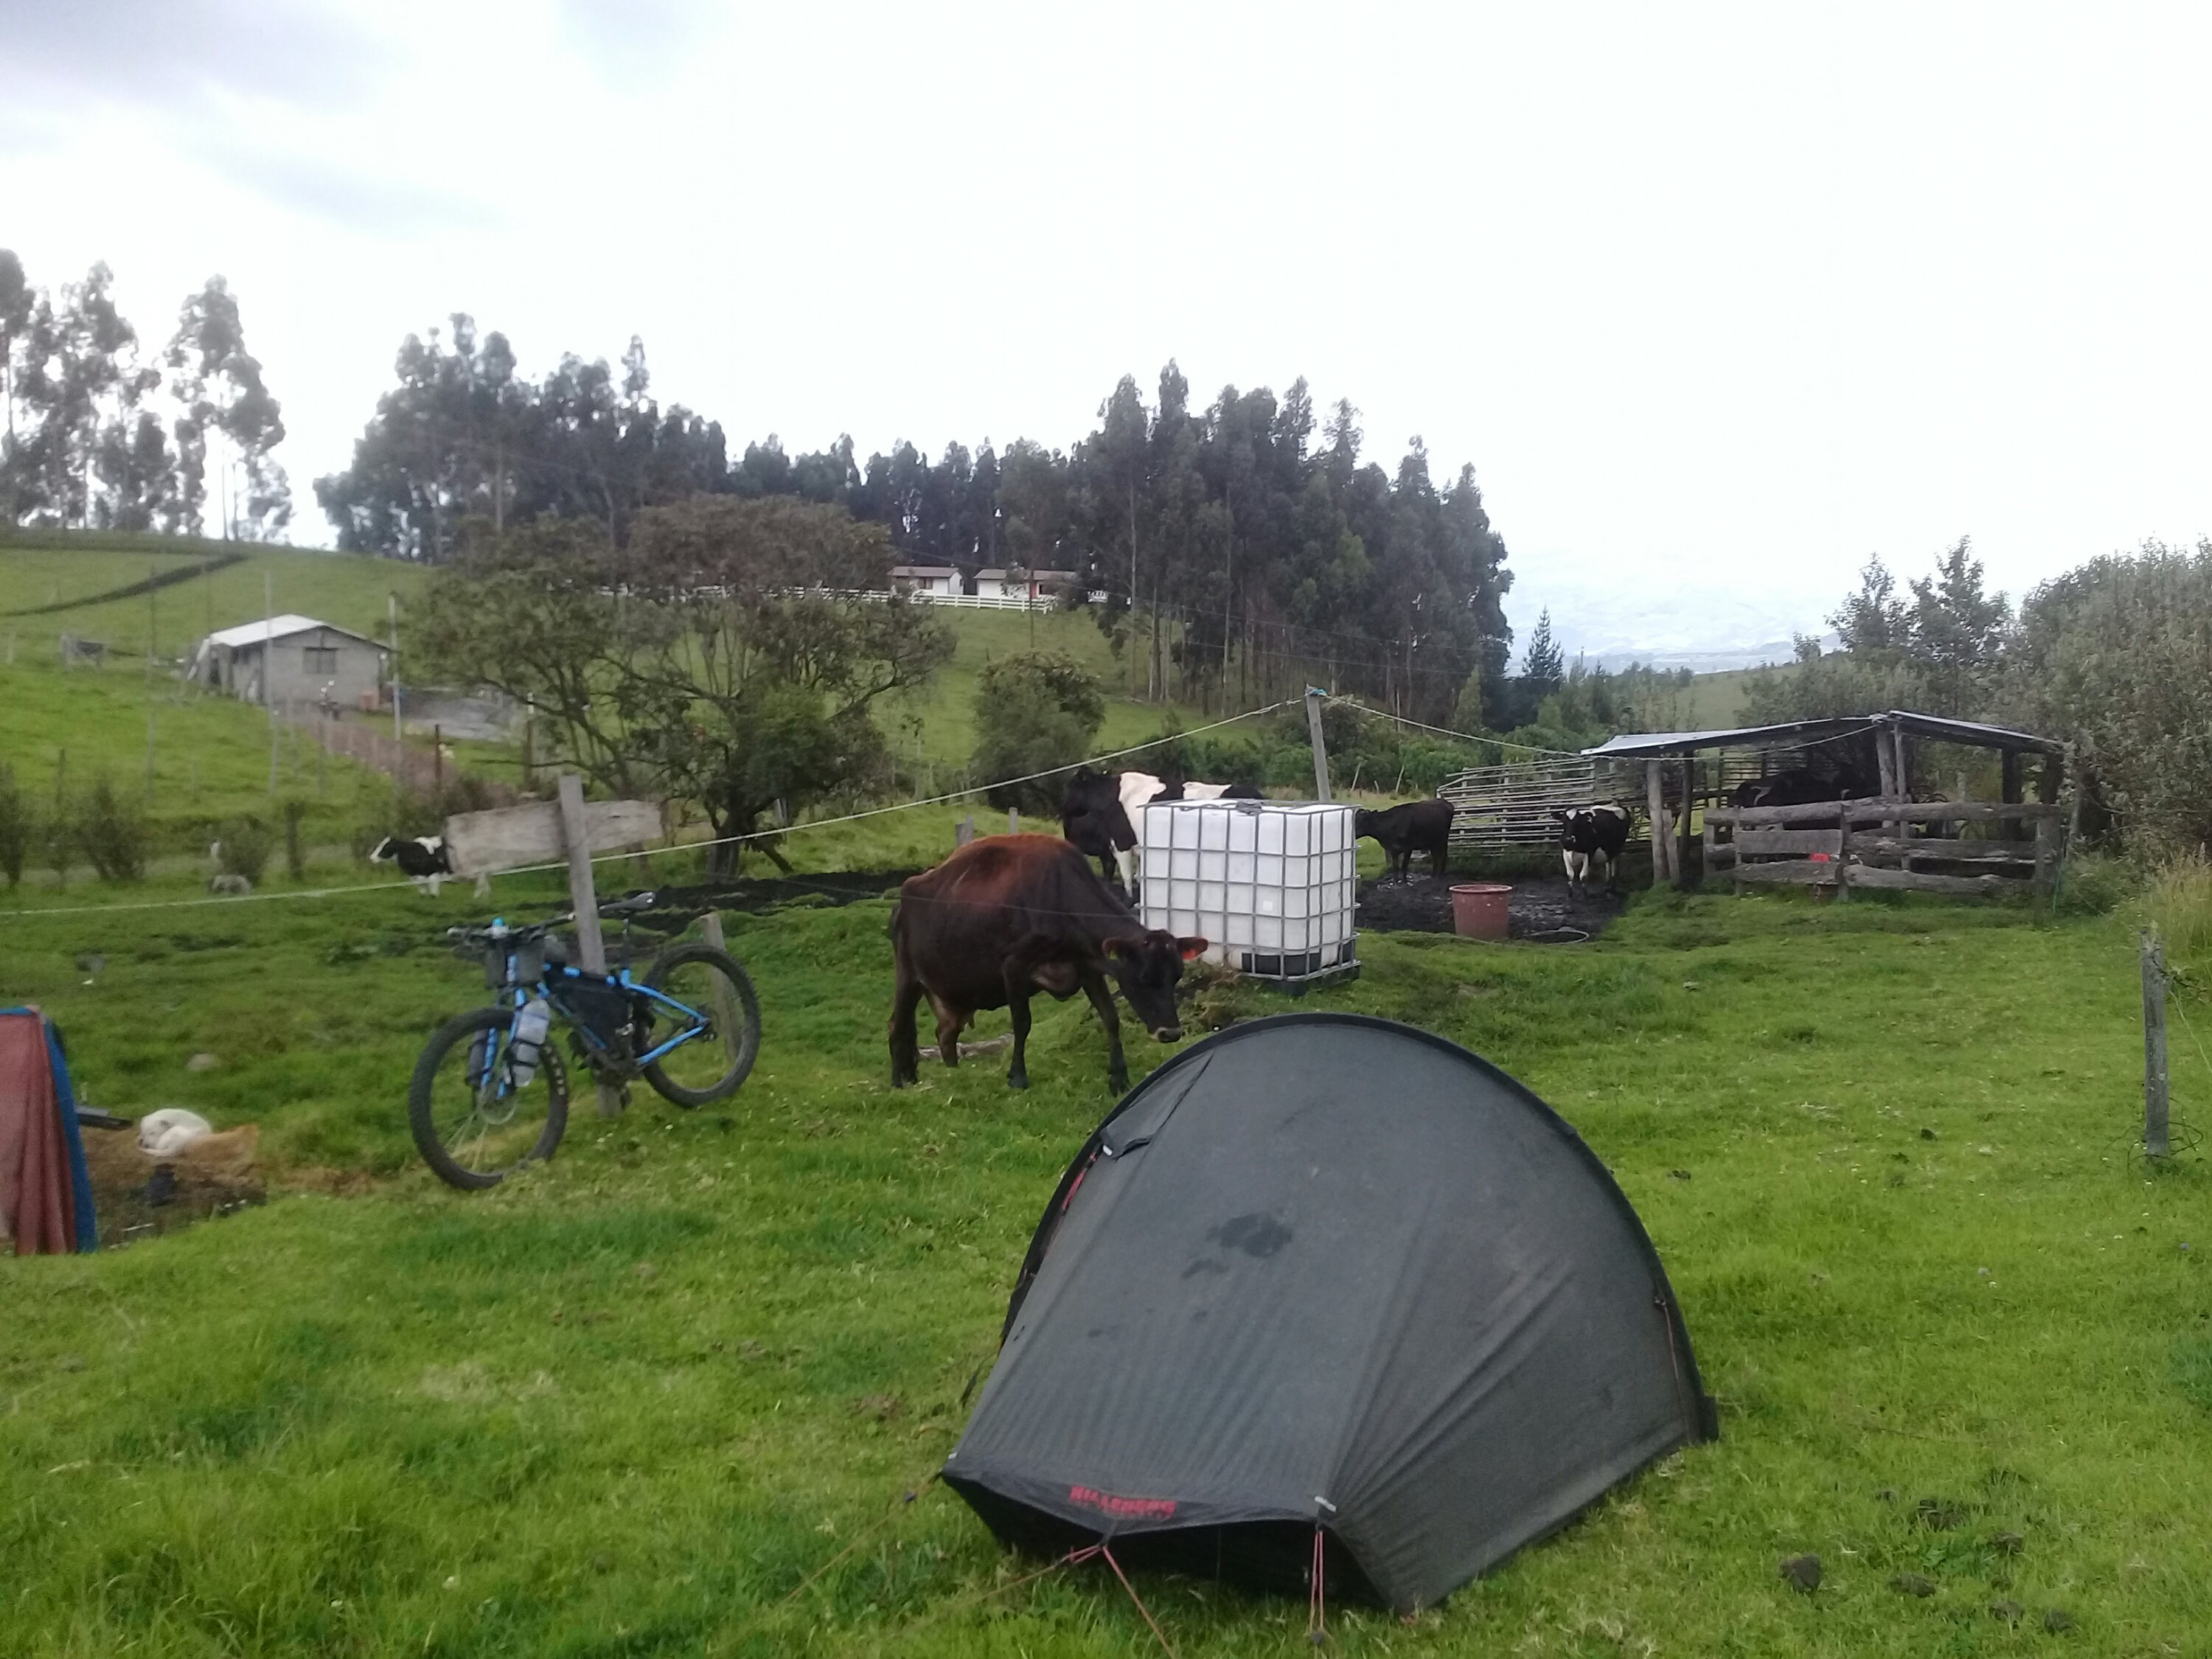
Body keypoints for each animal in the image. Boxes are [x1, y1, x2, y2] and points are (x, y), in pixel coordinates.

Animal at [889, 834, 1206, 1093]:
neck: (1058, 899)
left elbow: (1110, 1018)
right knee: (898, 1025)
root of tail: (905, 893)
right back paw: (900, 1081)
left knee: (945, 1034)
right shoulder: (1013, 966)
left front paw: (1119, 1077)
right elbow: (1022, 1023)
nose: (1171, 1033)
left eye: (1176, 976)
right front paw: (1017, 1077)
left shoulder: (1088, 968)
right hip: (908, 974)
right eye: (1142, 977)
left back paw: (953, 1074)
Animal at [1354, 796, 1454, 882]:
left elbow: (1404, 866)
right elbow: (1395, 867)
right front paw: (1395, 883)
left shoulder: (1408, 848)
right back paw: (1434, 876)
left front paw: (1404, 882)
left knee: (1443, 854)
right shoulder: (1393, 849)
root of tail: (1444, 801)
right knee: (1435, 856)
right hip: (1432, 840)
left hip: (1442, 839)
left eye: (1362, 820)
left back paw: (1439, 875)